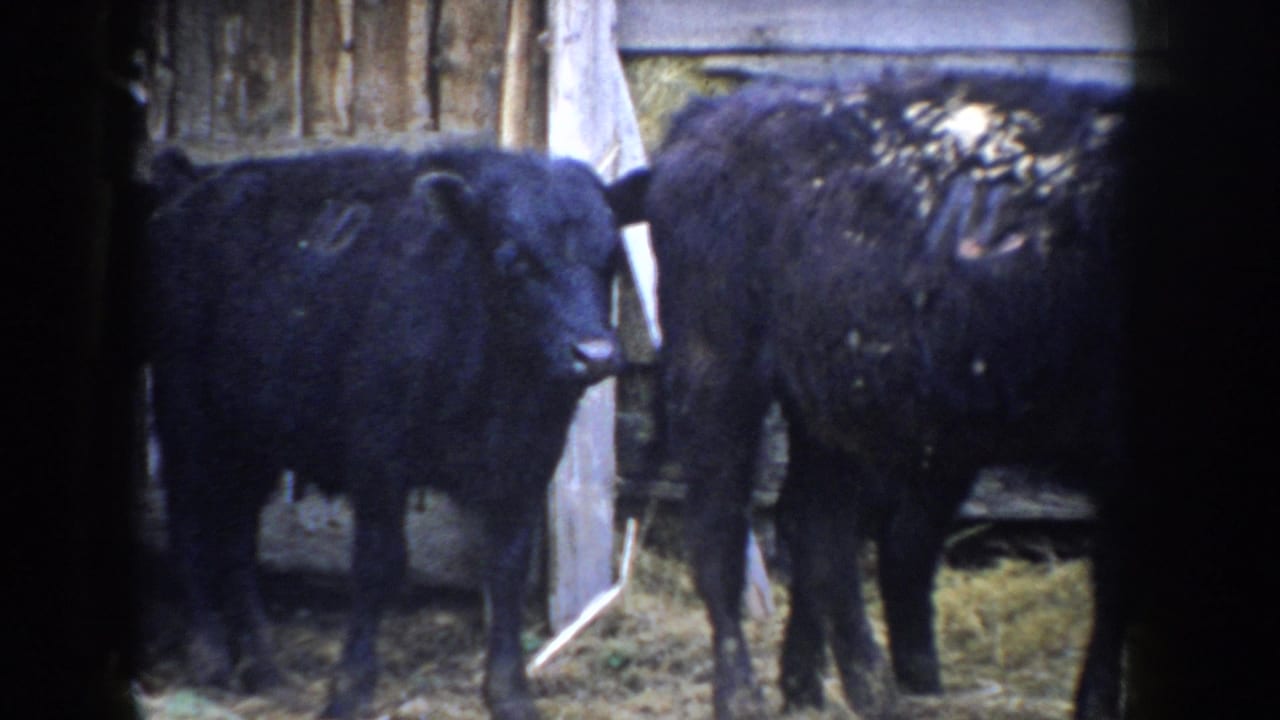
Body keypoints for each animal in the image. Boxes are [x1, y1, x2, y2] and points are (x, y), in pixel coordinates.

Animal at [145, 145, 646, 719]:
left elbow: (507, 567)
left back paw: (265, 669)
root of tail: (196, 179)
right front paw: (350, 690)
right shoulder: (378, 459)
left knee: (237, 539)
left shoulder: (527, 462)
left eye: (611, 257)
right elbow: (379, 564)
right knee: (188, 521)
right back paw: (209, 658)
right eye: (513, 258)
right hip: (187, 416)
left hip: (252, 438)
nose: (595, 354)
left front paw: (510, 693)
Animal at [636, 72, 1148, 720]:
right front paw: (1098, 701)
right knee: (721, 533)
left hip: (827, 406)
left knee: (820, 532)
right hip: (715, 375)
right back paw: (749, 694)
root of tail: (709, 116)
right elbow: (1115, 588)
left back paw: (831, 686)